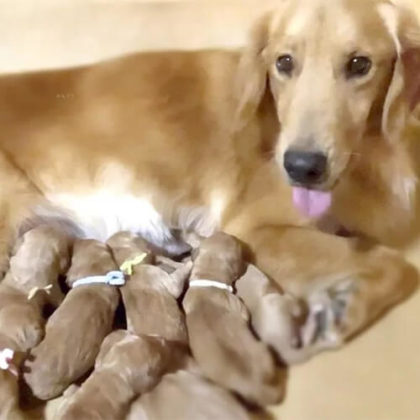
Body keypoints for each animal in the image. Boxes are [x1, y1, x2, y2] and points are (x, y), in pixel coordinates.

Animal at [0, 0, 419, 362]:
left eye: (360, 64)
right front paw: (342, 313)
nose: (301, 167)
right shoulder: (254, 230)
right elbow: (398, 267)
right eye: (284, 62)